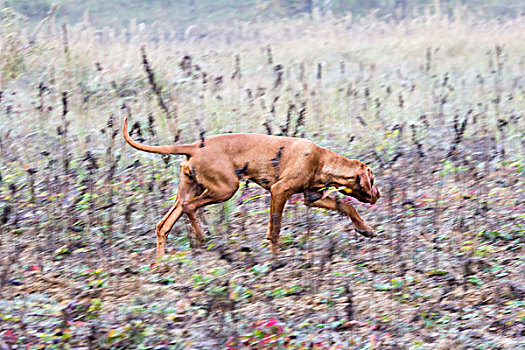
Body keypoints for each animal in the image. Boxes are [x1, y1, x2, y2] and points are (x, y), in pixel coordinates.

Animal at [121, 117, 378, 258]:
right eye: (373, 181)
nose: (378, 195)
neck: (321, 159)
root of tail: (195, 146)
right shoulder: (279, 191)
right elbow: (275, 229)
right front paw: (276, 258)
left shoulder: (312, 197)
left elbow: (347, 206)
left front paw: (366, 230)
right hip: (226, 188)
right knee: (190, 207)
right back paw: (201, 237)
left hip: (190, 189)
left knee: (164, 225)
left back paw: (161, 264)